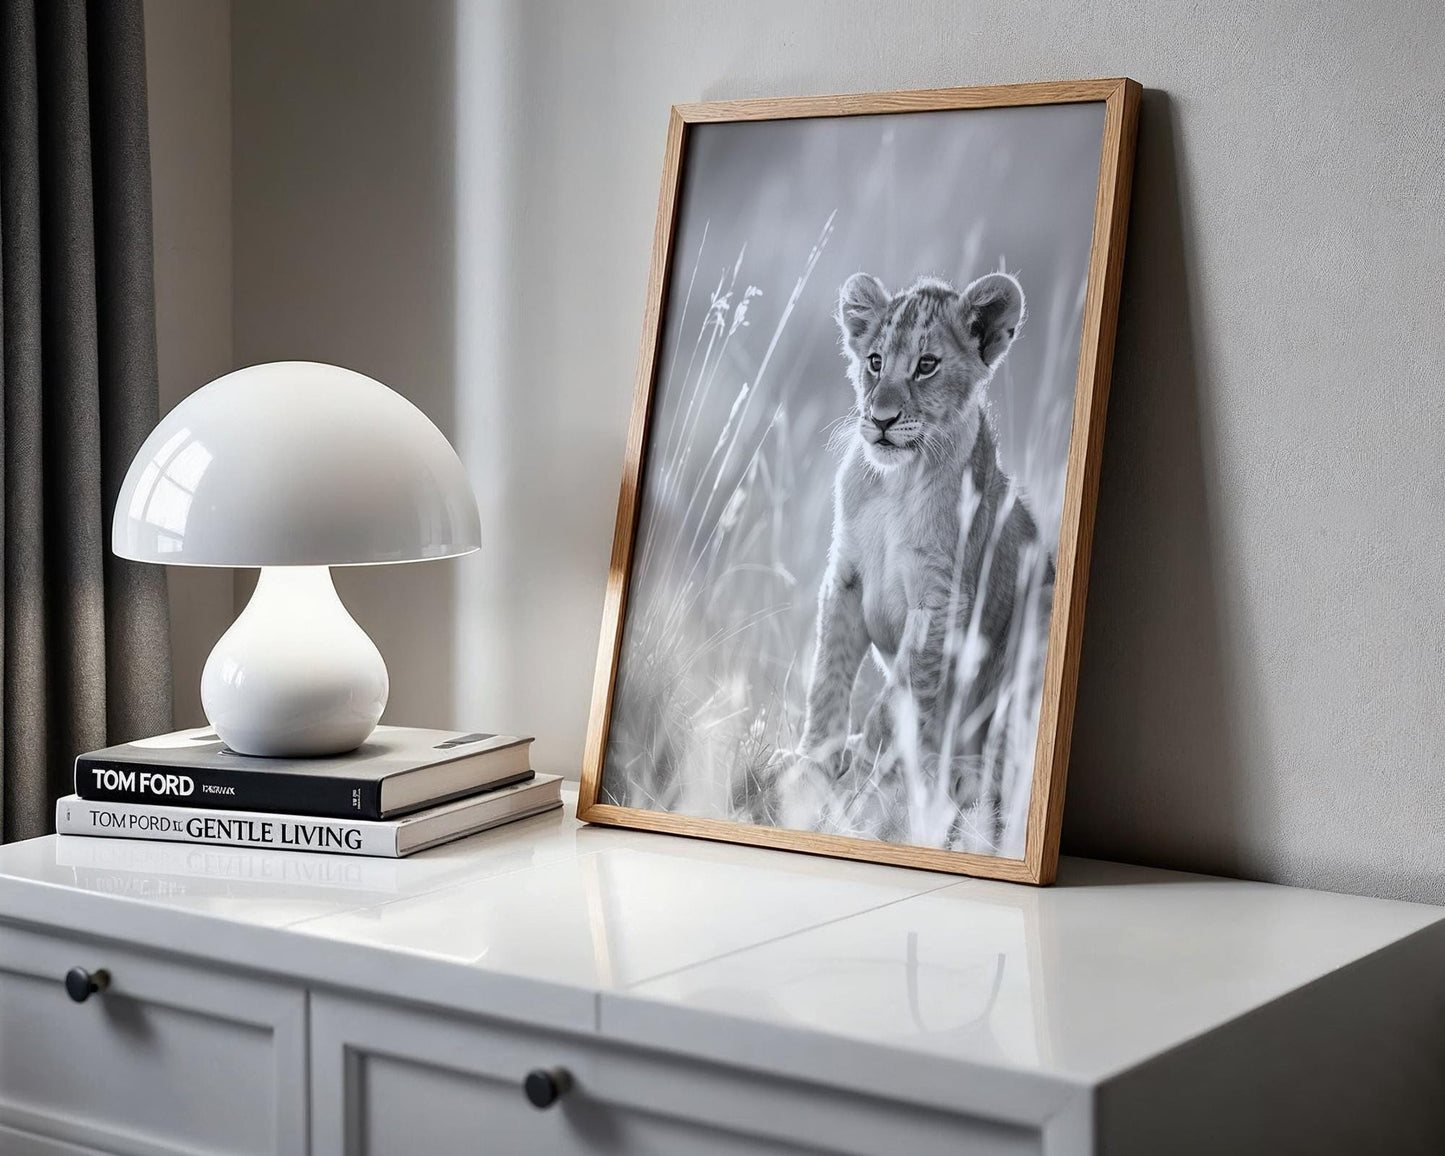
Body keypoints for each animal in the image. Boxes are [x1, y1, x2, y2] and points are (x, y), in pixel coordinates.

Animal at [784, 271, 1053, 850]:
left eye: (927, 365)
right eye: (875, 361)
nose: (880, 420)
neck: (896, 482)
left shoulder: (940, 603)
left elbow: (894, 703)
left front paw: (860, 781)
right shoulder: (845, 580)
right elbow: (827, 680)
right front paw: (811, 765)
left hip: (1043, 604)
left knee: (1004, 776)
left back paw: (954, 780)